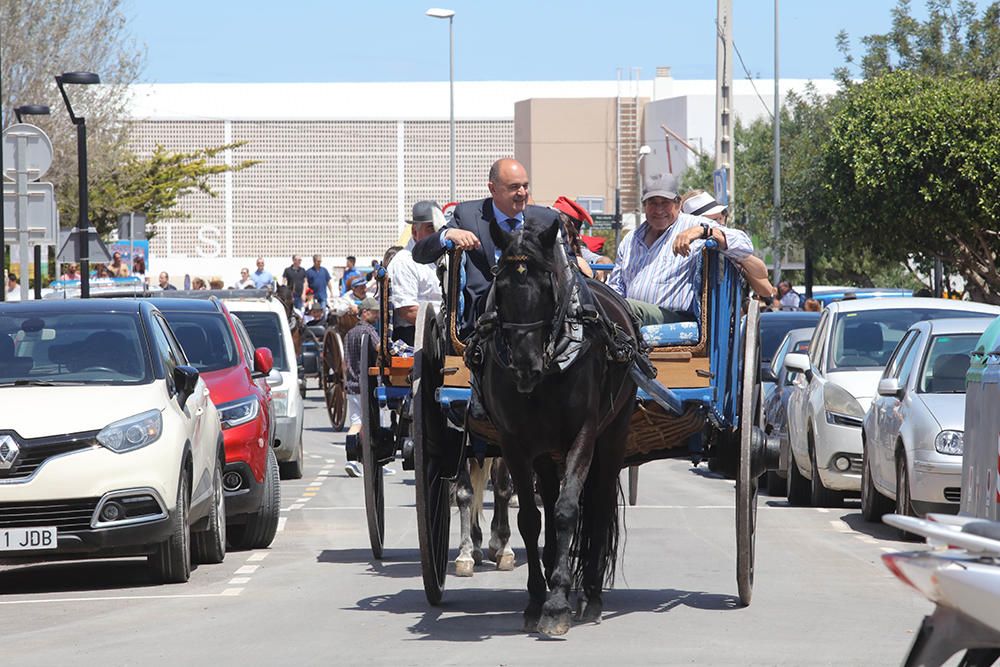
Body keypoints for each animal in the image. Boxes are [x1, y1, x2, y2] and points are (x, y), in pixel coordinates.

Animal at [470, 215, 640, 636]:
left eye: (547, 288)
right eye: (500, 287)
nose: (525, 366)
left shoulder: (584, 435)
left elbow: (566, 512)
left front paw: (559, 603)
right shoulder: (514, 442)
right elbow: (531, 518)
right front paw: (536, 599)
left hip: (613, 434)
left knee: (597, 504)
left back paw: (591, 597)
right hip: (545, 449)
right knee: (546, 494)